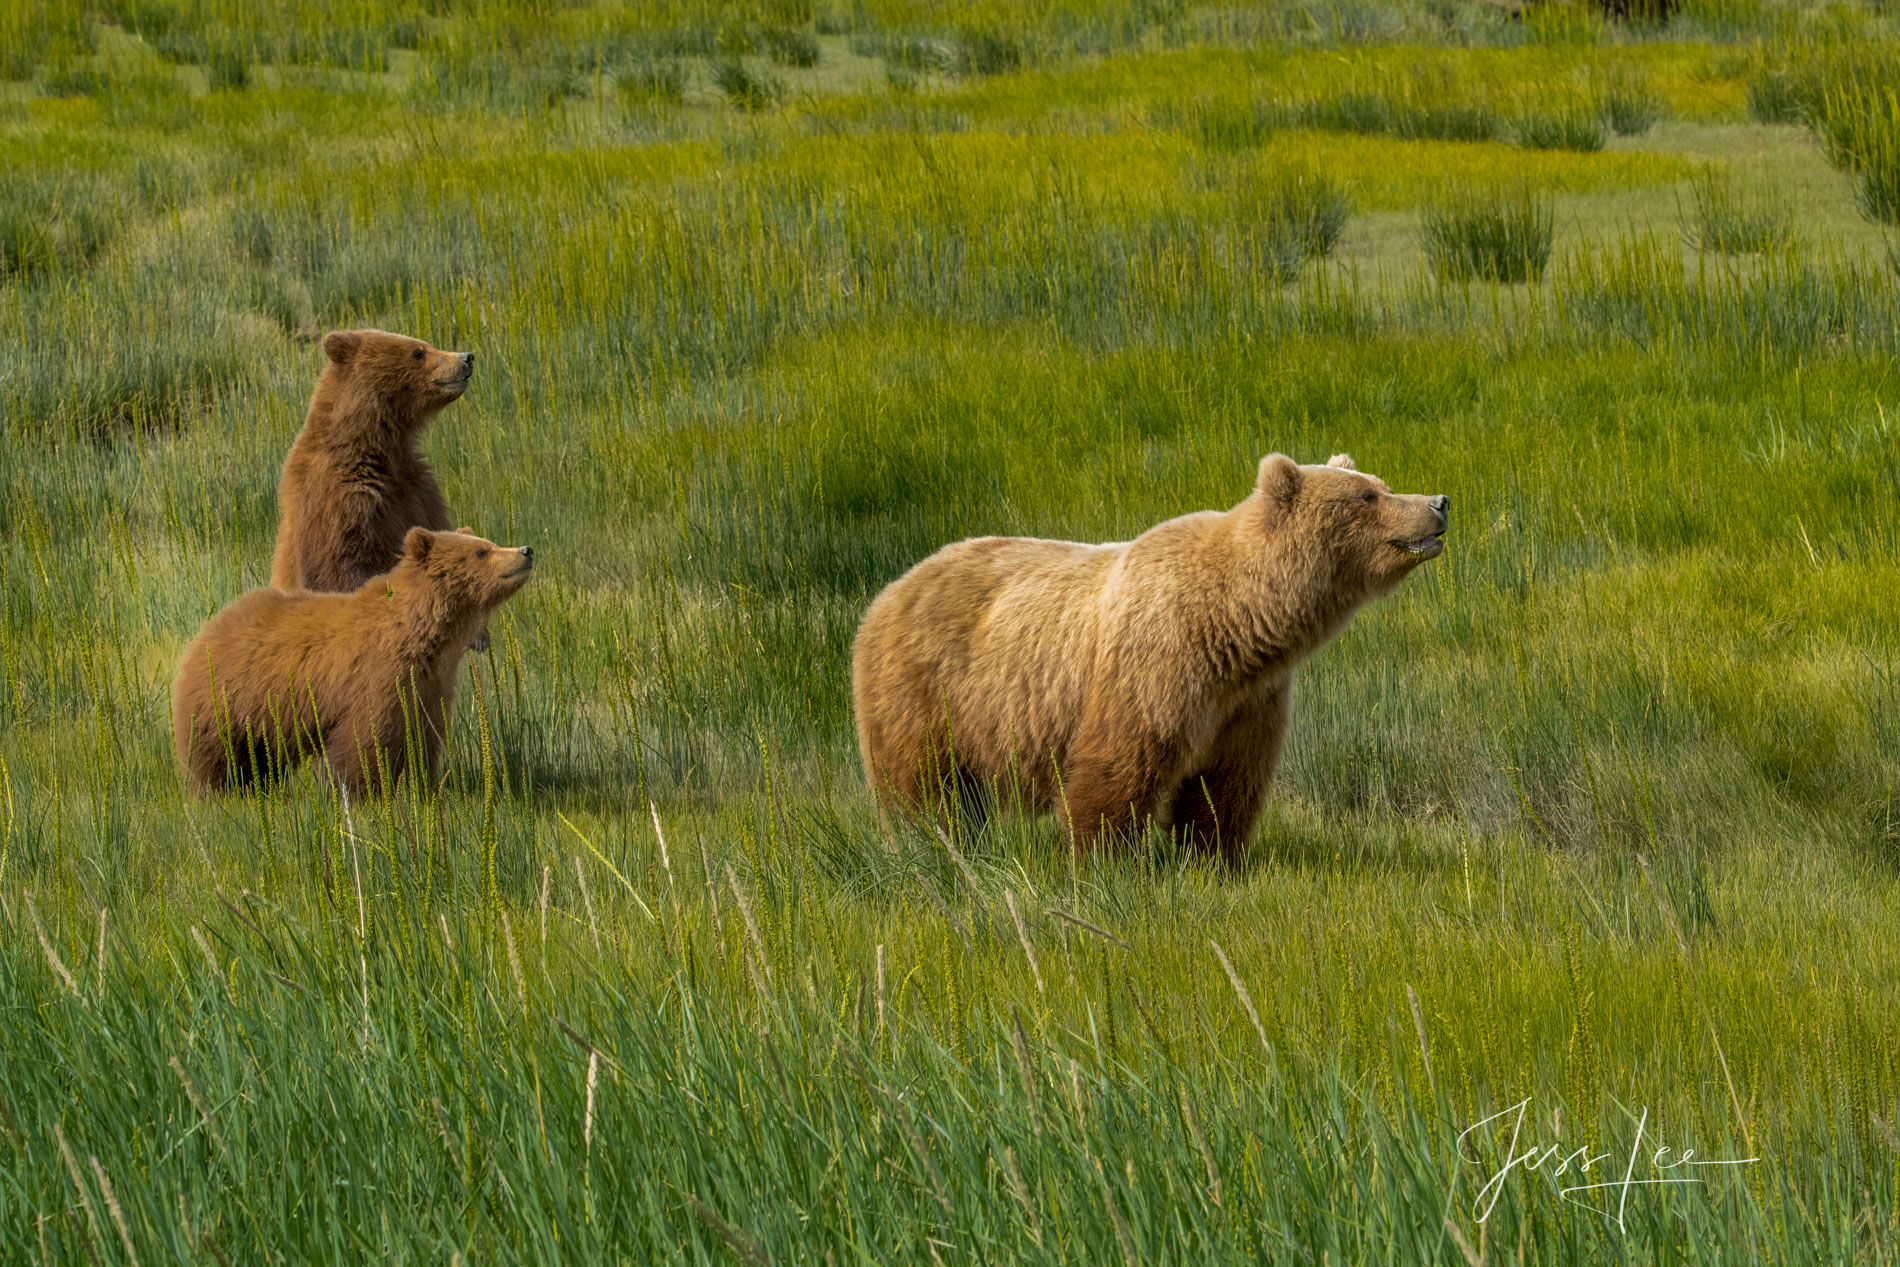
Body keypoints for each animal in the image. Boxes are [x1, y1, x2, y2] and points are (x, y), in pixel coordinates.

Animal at [176, 524, 535, 794]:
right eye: (481, 552)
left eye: (487, 543)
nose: (526, 550)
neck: (424, 636)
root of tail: (210, 626)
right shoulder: (376, 676)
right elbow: (369, 739)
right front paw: (366, 792)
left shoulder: (429, 684)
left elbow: (420, 736)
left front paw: (420, 785)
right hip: (229, 699)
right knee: (217, 755)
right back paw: (221, 791)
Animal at [855, 450, 1444, 858]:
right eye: (1367, 497)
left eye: (1383, 485)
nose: (1439, 503)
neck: (1237, 625)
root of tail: (888, 591)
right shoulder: (1155, 665)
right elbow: (1116, 771)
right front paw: (1107, 860)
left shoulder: (1249, 701)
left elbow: (1224, 785)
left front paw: (1212, 859)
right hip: (929, 691)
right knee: (923, 789)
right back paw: (931, 846)